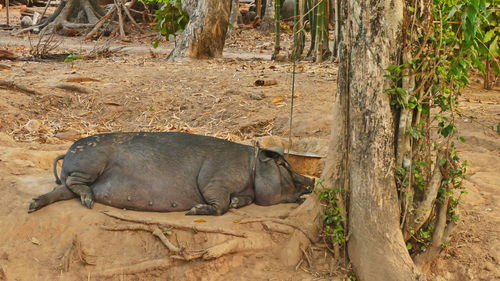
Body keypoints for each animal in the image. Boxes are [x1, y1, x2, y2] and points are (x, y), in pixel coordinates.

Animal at [27, 131, 314, 214]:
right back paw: (87, 202)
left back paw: (33, 205)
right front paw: (195, 210)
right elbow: (219, 203)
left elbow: (237, 201)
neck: (251, 167)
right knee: (75, 183)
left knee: (61, 189)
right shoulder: (215, 178)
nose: (311, 179)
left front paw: (236, 203)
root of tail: (68, 151)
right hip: (90, 162)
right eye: (284, 166)